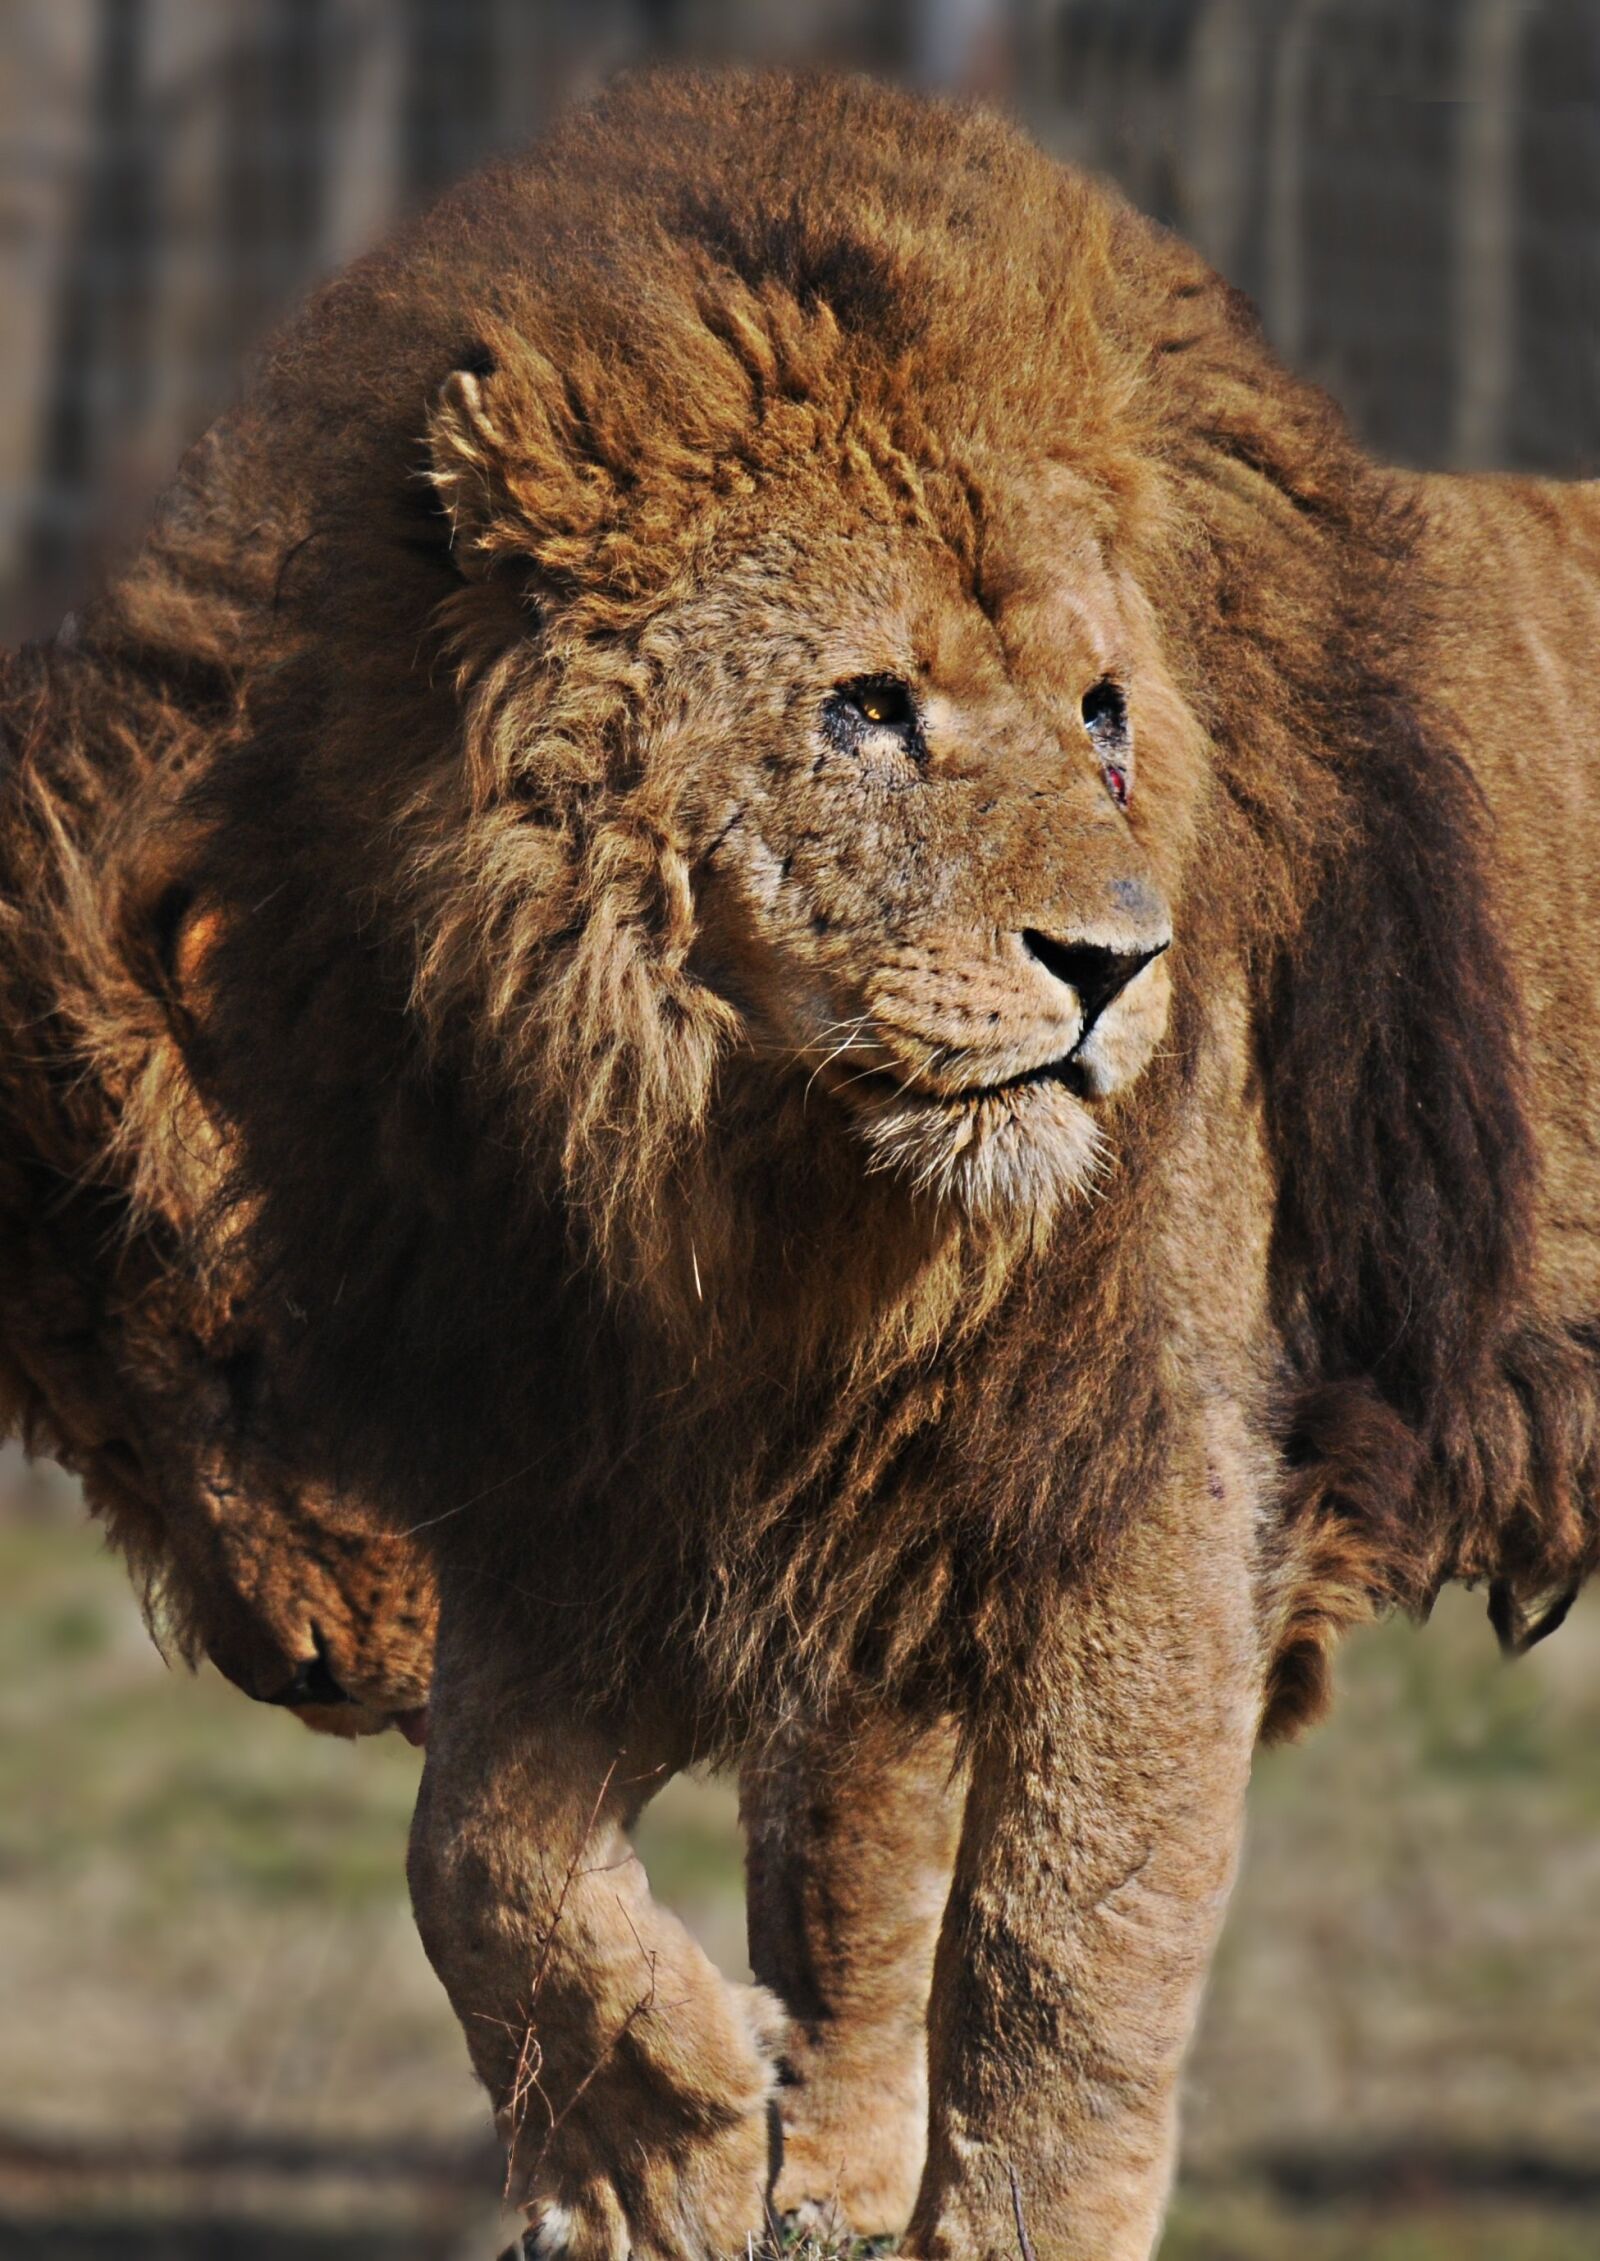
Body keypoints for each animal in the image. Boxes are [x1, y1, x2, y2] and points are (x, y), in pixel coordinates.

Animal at [12, 66, 1600, 2261]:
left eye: (1103, 712)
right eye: (864, 707)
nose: (1117, 965)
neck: (752, 1188)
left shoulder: (1142, 1501)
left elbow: (1052, 1961)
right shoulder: (617, 1483)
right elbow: (506, 1851)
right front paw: (677, 2137)